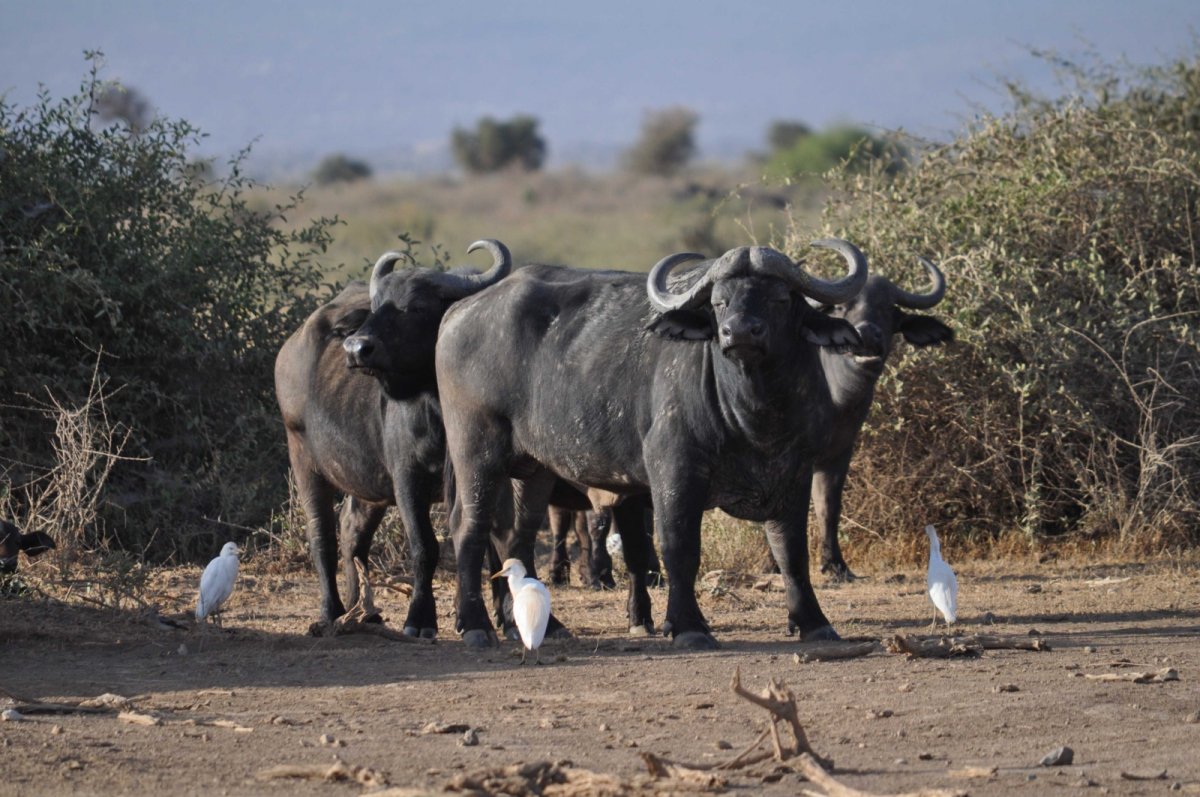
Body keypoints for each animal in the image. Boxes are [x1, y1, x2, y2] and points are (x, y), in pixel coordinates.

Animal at [274, 241, 508, 633]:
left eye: (416, 307)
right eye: (377, 304)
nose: (356, 349)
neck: (438, 409)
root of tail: (289, 349)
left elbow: (489, 540)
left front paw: (495, 617)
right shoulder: (406, 478)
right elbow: (425, 546)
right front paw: (420, 618)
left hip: (366, 481)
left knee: (351, 531)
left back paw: (361, 610)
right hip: (303, 459)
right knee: (322, 536)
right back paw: (331, 611)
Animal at [436, 236, 868, 648]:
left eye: (780, 299)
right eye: (719, 301)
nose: (739, 332)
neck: (753, 415)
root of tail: (459, 312)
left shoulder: (794, 474)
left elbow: (791, 553)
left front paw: (813, 622)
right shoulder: (674, 474)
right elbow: (679, 548)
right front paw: (688, 625)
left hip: (533, 469)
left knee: (515, 536)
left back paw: (541, 626)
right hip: (477, 453)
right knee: (469, 527)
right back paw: (475, 625)